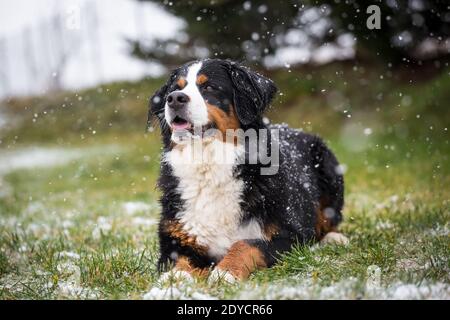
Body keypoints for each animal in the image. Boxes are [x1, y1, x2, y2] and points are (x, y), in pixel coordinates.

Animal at [149, 58, 348, 282]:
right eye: (175, 88)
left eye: (209, 87)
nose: (174, 98)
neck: (209, 166)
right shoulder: (176, 237)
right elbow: (180, 257)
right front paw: (176, 277)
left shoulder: (290, 235)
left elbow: (246, 244)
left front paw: (225, 271)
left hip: (328, 166)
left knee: (330, 219)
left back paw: (334, 238)